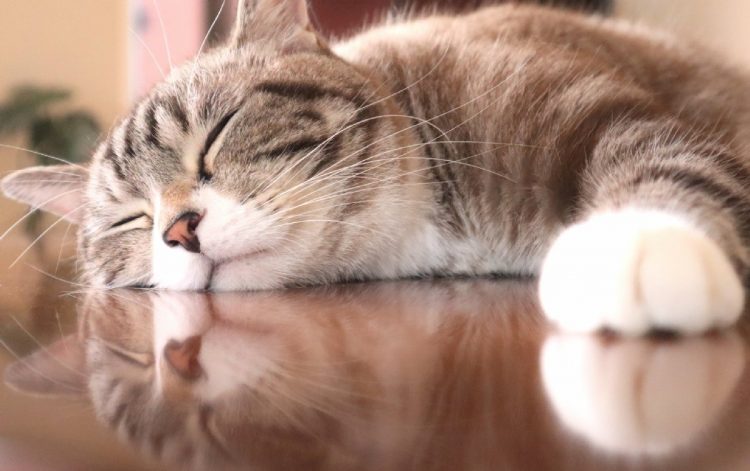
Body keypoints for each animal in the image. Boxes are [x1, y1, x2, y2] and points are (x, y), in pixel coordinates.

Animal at [1, 0, 750, 336]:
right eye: (131, 218)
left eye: (216, 134)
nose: (177, 230)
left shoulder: (610, 117)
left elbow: (666, 167)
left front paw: (642, 246)